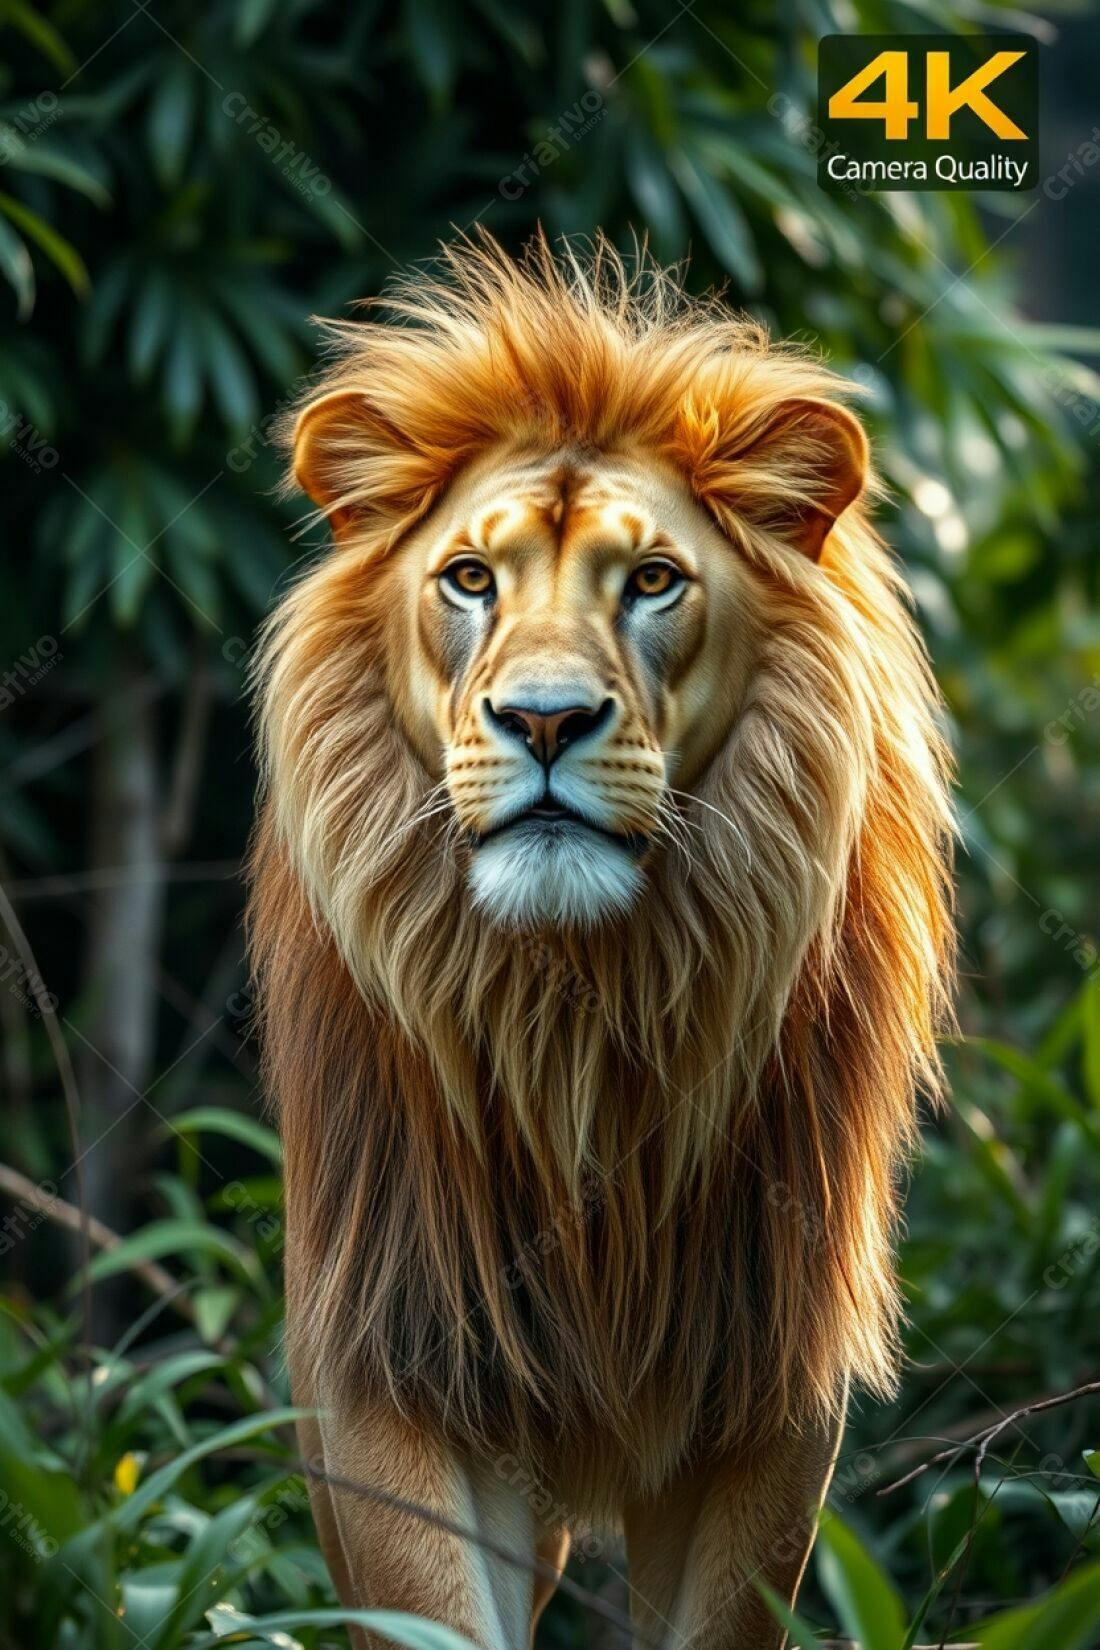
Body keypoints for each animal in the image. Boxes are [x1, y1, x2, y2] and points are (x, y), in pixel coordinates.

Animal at [248, 232, 954, 1649]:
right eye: (470, 579)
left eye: (652, 581)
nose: (544, 720)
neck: (574, 1011)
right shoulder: (387, 1357)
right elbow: (434, 1614)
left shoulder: (764, 1390)